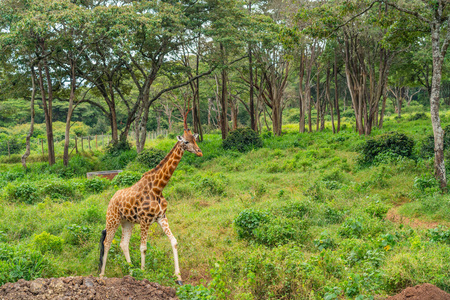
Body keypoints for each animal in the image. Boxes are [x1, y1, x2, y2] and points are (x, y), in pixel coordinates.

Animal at [99, 113, 203, 286]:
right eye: (186, 142)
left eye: (195, 140)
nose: (200, 152)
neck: (158, 188)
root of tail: (112, 199)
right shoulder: (145, 220)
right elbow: (143, 247)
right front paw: (144, 274)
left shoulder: (161, 217)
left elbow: (174, 241)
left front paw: (178, 277)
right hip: (112, 219)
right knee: (107, 242)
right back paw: (101, 276)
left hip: (127, 222)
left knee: (123, 243)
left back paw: (131, 272)